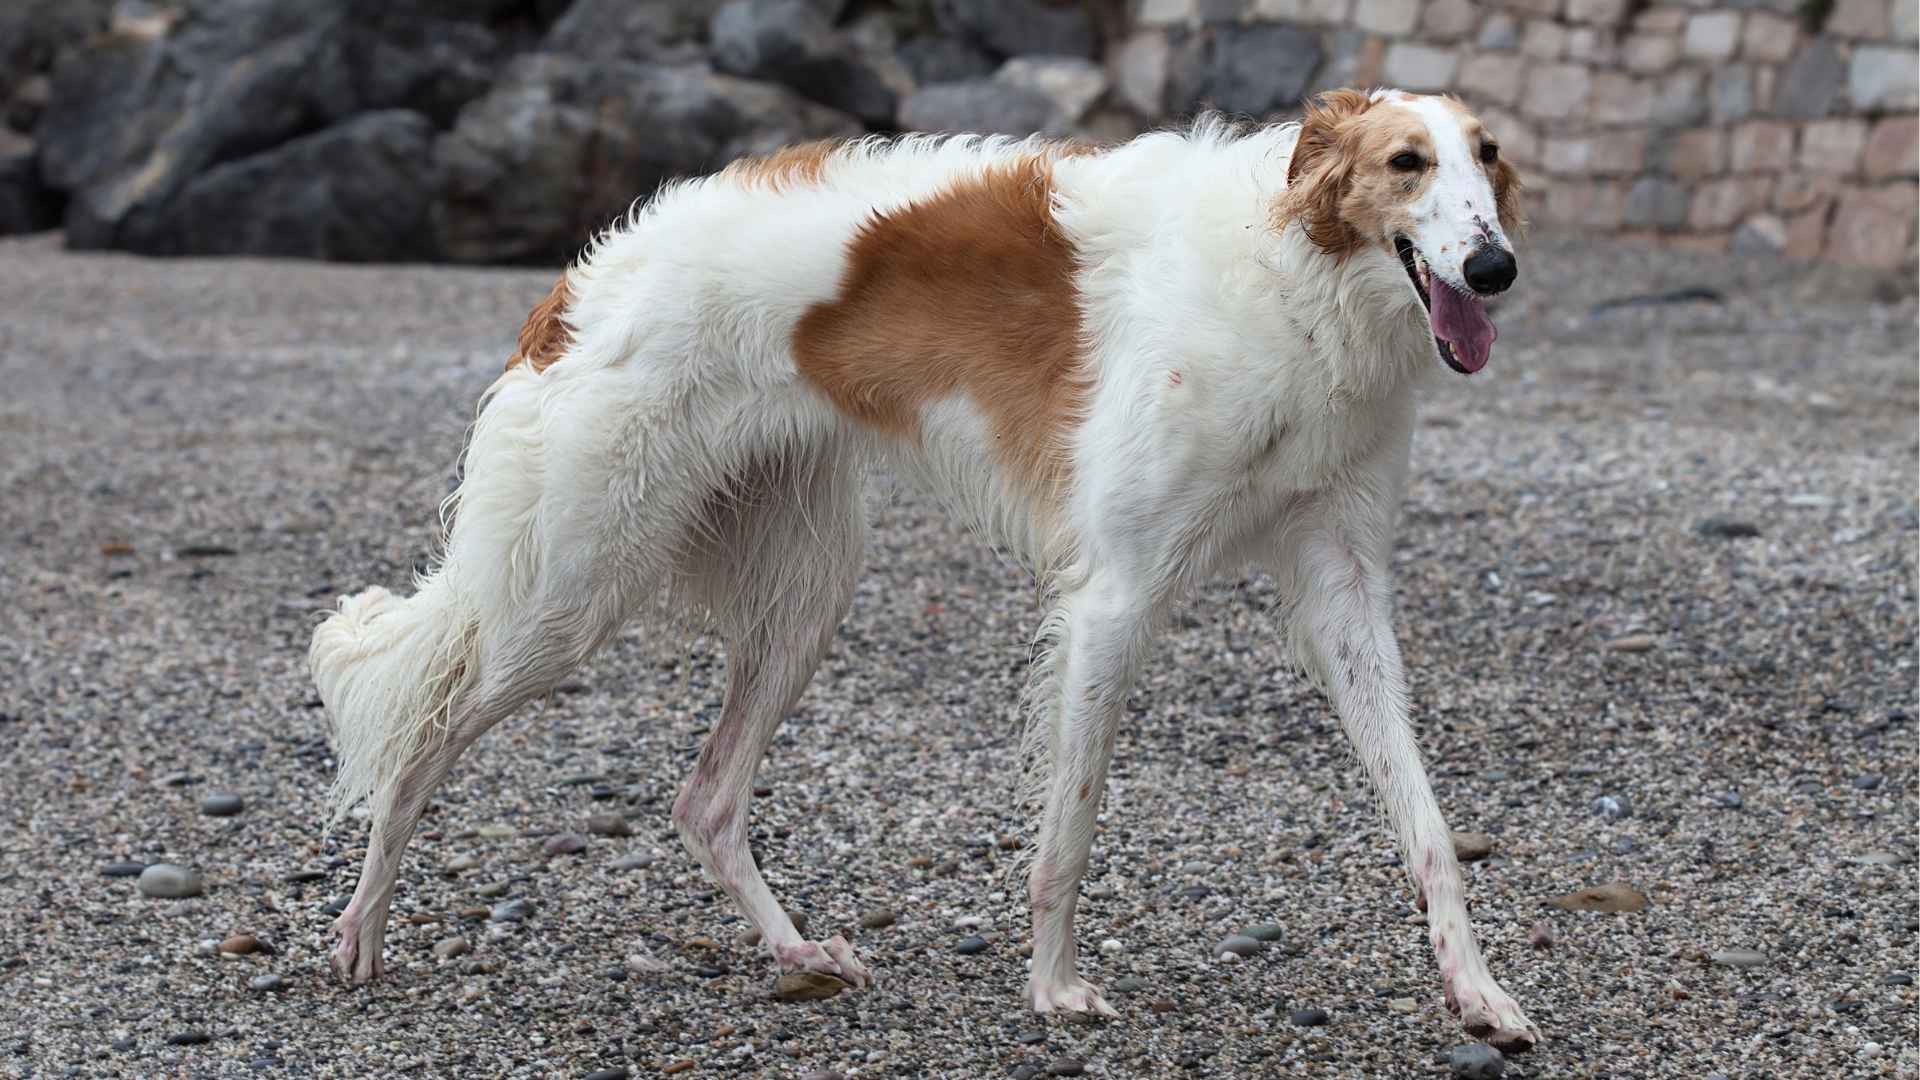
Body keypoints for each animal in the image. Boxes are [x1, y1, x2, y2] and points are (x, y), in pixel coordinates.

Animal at [314, 88, 1543, 1045]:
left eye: (1489, 155)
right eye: (1406, 162)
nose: (1494, 268)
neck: (1290, 272)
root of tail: (579, 280)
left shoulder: (1342, 584)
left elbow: (1428, 826)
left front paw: (1478, 994)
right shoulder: (1118, 594)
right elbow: (1071, 828)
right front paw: (1053, 990)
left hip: (803, 595)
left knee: (705, 799)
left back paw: (799, 952)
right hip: (571, 589)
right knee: (421, 737)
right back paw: (361, 929)